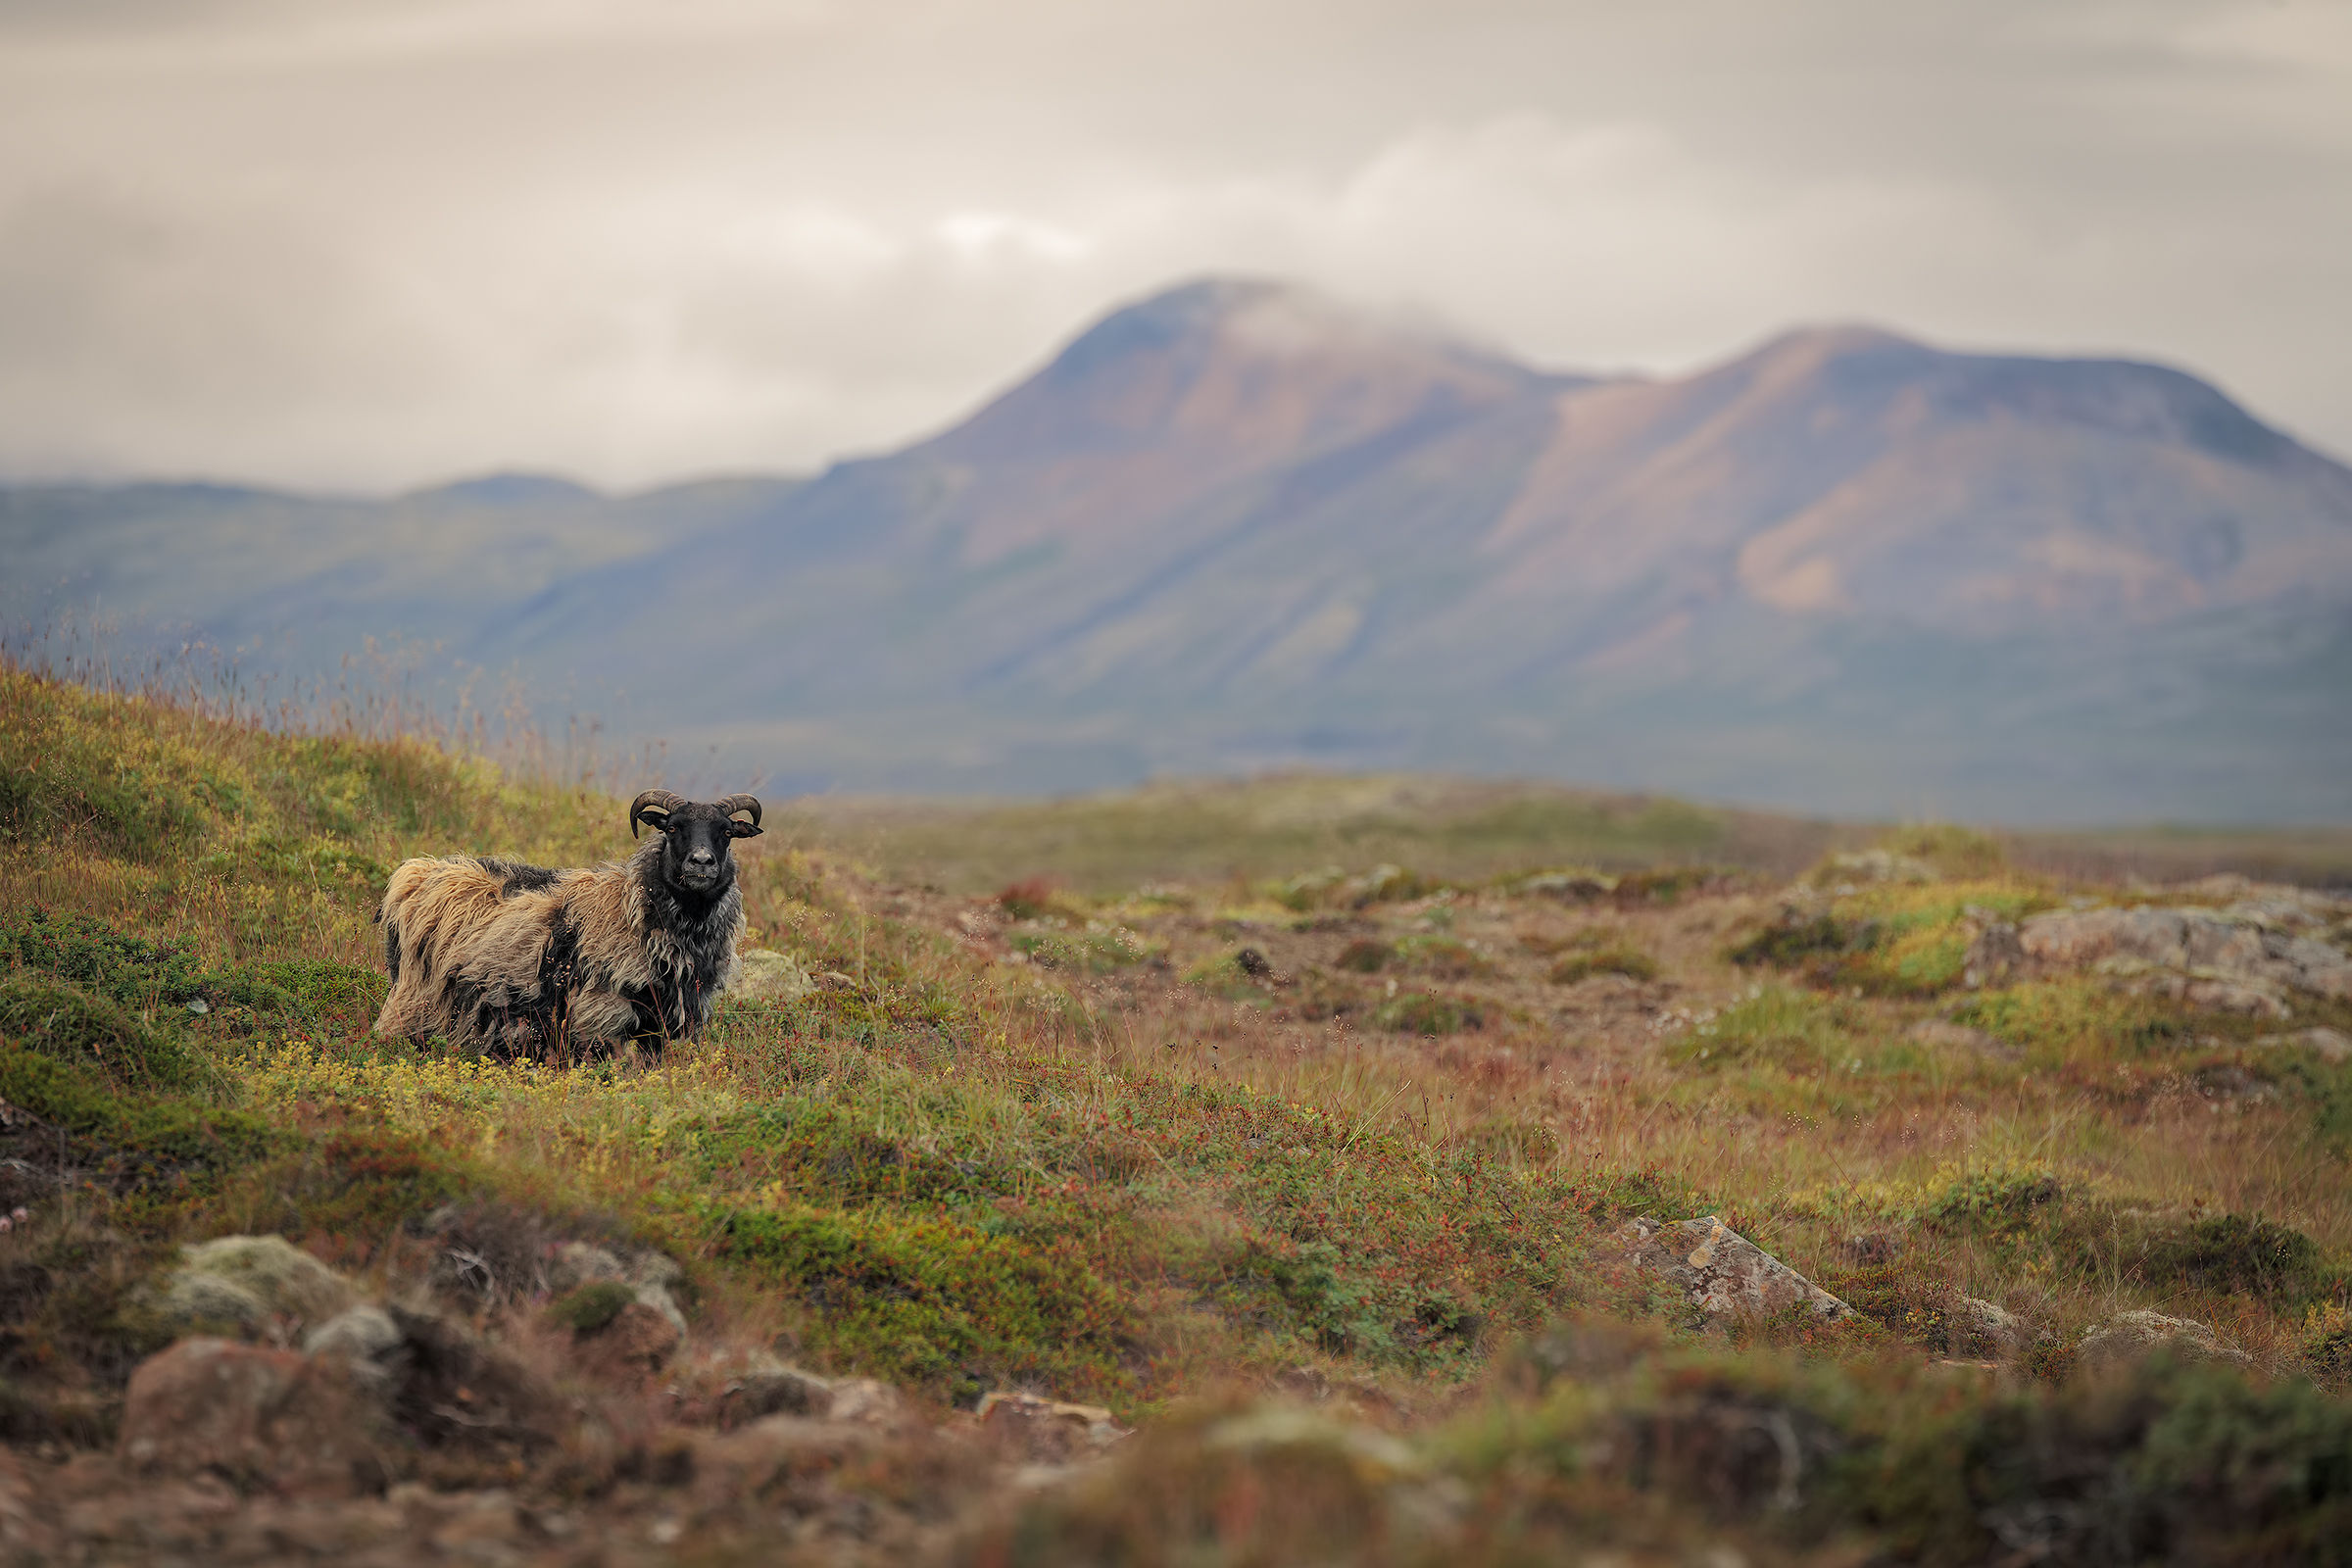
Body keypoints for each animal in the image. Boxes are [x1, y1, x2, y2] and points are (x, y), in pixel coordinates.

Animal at [372, 790, 762, 1058]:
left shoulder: (657, 1026)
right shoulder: (600, 1016)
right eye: (672, 827)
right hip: (416, 993)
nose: (702, 863)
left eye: (727, 832)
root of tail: (413, 872)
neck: (634, 908)